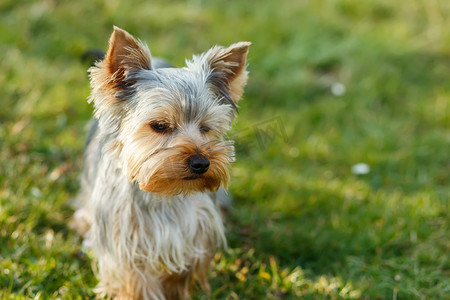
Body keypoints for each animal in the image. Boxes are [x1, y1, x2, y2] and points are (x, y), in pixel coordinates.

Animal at [72, 27, 251, 298]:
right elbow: (136, 278)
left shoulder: (198, 224)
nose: (201, 163)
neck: (164, 192)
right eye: (159, 125)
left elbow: (184, 267)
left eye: (206, 128)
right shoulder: (124, 233)